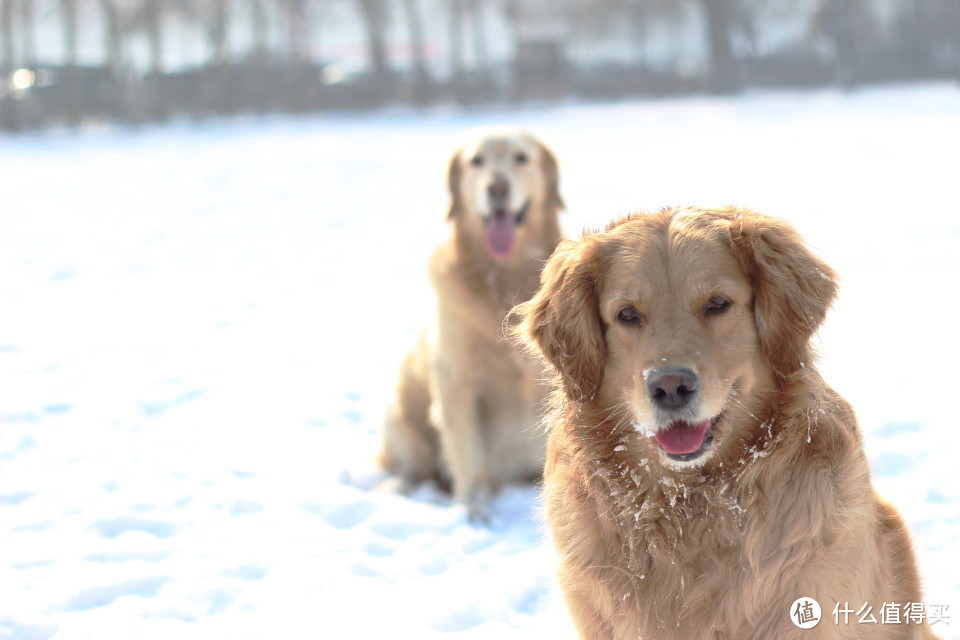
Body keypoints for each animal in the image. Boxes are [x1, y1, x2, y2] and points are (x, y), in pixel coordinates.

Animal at [378, 129, 568, 520]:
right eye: (476, 161)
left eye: (521, 157)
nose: (497, 187)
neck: (502, 277)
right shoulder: (456, 384)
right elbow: (468, 454)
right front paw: (473, 512)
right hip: (399, 413)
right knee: (411, 467)